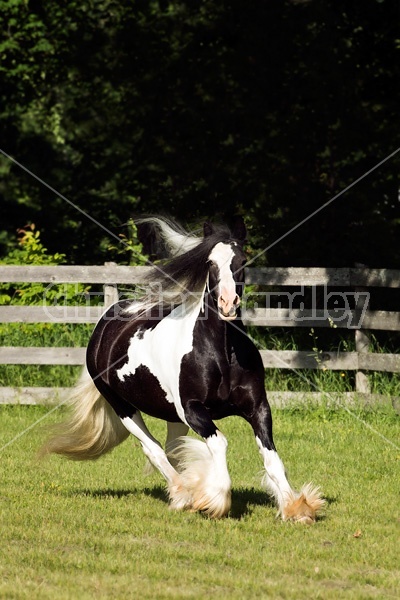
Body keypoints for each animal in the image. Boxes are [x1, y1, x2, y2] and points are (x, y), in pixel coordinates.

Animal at [42, 218, 324, 524]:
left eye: (243, 261)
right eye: (210, 263)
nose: (228, 303)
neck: (221, 353)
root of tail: (105, 323)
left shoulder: (258, 407)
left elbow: (271, 456)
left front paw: (296, 508)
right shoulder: (193, 410)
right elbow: (219, 442)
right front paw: (215, 500)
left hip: (170, 415)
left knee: (171, 449)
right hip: (123, 406)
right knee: (153, 449)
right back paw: (184, 495)